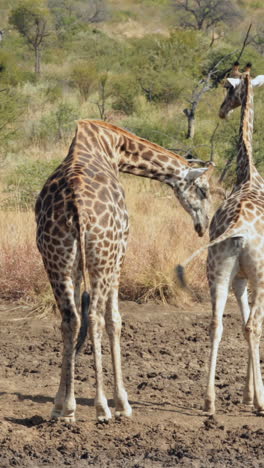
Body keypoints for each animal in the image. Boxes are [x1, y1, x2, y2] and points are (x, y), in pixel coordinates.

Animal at [35, 119, 213, 422]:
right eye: (203, 189)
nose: (203, 226)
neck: (114, 146)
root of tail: (77, 207)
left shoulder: (78, 266)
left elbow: (78, 322)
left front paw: (62, 401)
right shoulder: (120, 255)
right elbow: (115, 320)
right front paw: (122, 402)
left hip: (56, 260)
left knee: (70, 319)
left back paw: (65, 408)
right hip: (104, 259)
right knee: (94, 316)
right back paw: (102, 407)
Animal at [176, 64, 264, 414]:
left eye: (229, 90)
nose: (223, 110)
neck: (249, 175)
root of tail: (237, 226)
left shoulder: (239, 279)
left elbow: (239, 321)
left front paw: (246, 393)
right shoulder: (253, 278)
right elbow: (253, 325)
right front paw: (252, 395)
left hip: (218, 271)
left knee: (216, 323)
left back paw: (209, 400)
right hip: (258, 274)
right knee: (253, 325)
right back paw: (259, 404)